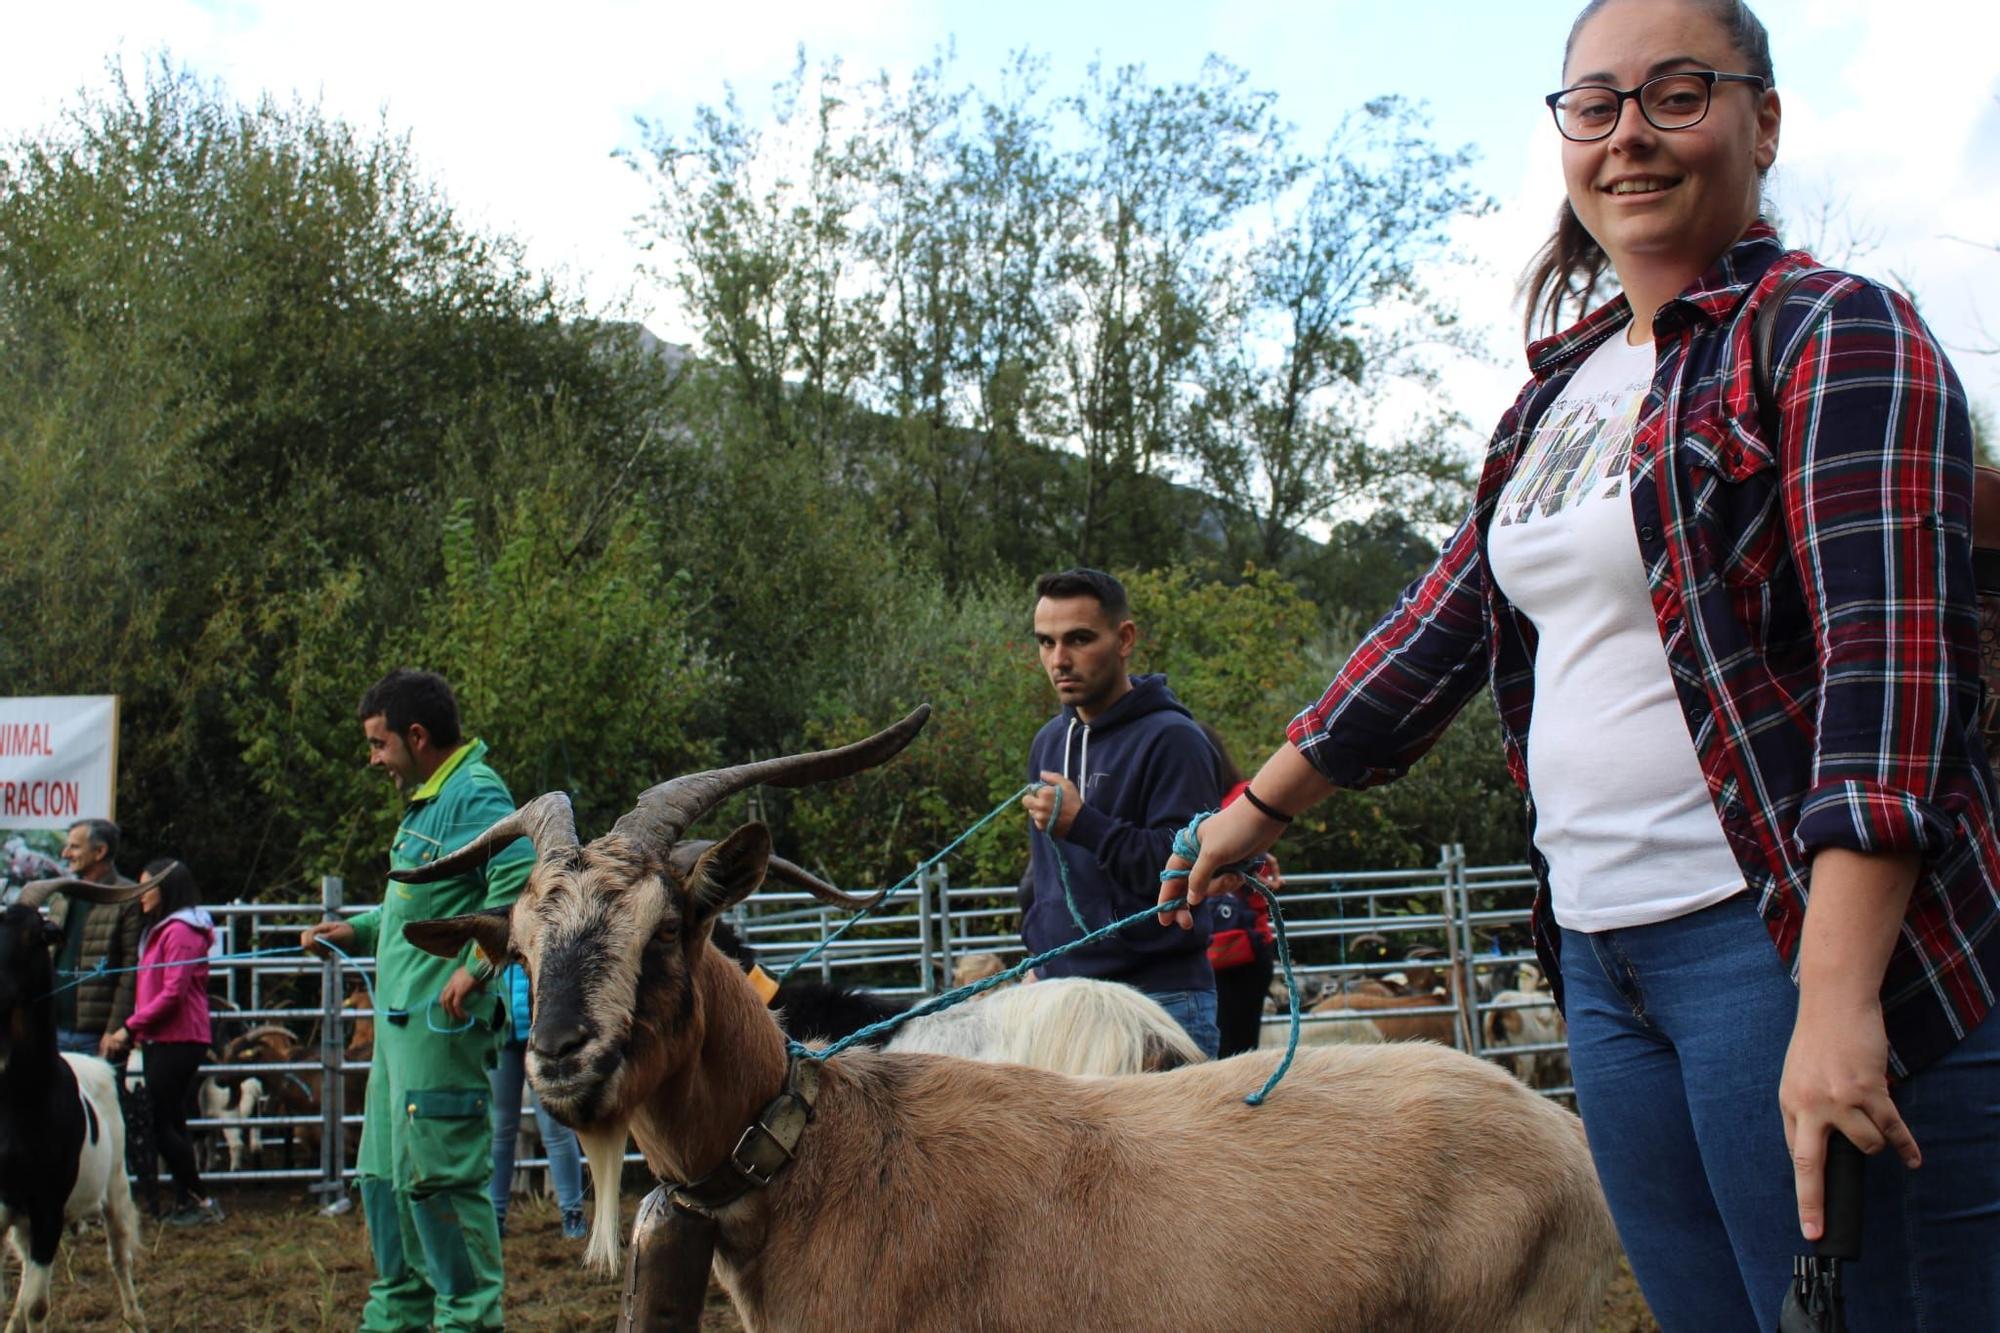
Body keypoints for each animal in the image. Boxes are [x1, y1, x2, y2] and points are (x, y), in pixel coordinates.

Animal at [0, 876, 145, 1320]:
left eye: (36, 935)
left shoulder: (48, 1208)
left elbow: (36, 1307)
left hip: (115, 1185)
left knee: (119, 1257)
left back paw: (135, 1317)